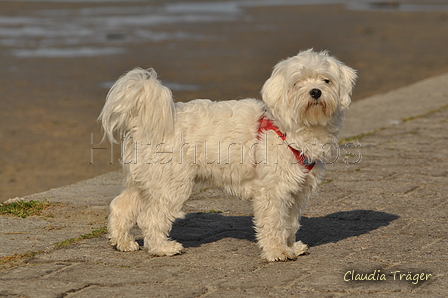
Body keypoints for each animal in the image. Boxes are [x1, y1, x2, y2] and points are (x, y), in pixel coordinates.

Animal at [99, 49, 356, 260]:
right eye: (297, 83)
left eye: (326, 80)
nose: (315, 92)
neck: (290, 128)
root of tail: (143, 122)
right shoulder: (273, 191)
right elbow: (274, 222)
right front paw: (278, 251)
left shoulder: (296, 190)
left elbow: (289, 223)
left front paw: (290, 246)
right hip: (171, 184)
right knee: (150, 217)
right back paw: (162, 248)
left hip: (146, 181)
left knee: (121, 206)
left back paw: (122, 242)